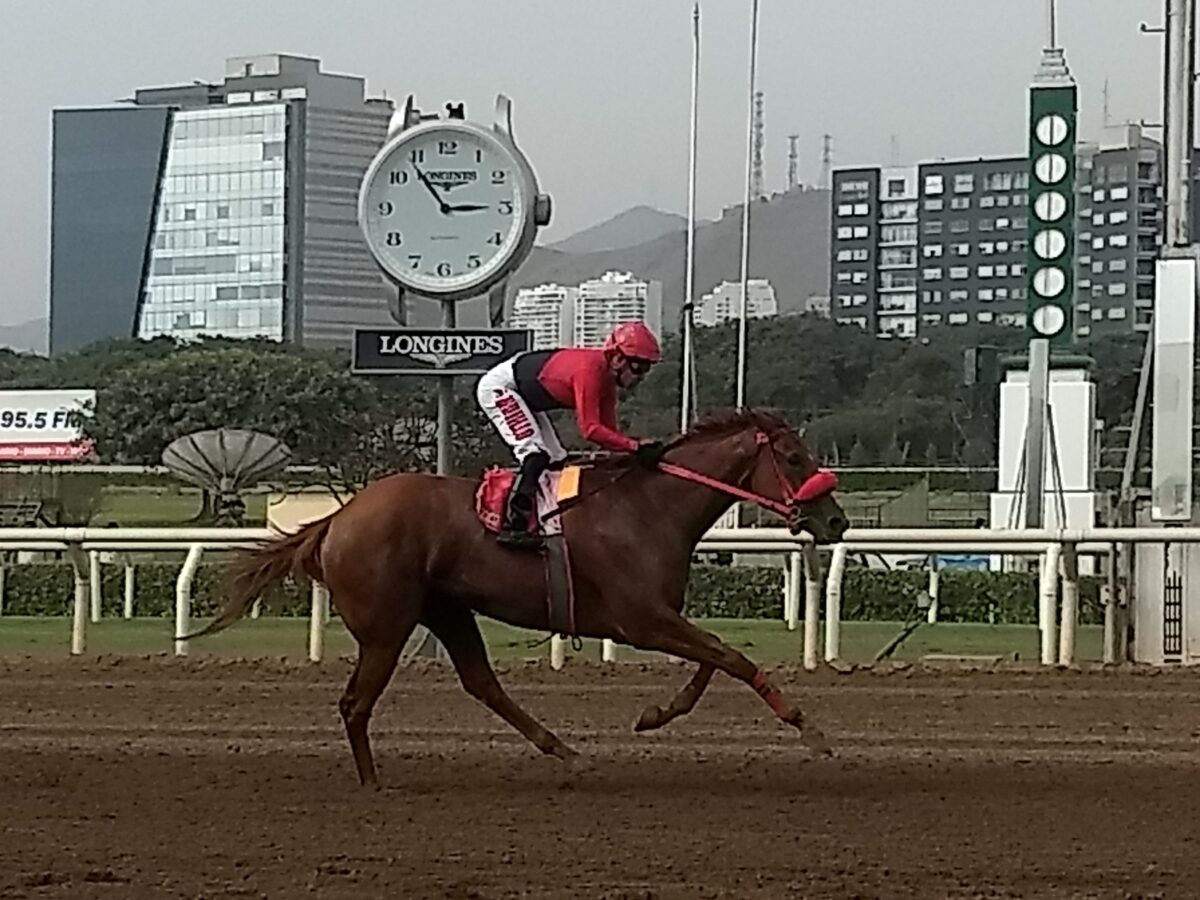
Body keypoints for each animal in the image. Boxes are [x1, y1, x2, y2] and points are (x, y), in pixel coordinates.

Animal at [186, 409, 848, 788]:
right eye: (794, 458)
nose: (837, 521)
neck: (648, 508)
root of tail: (338, 518)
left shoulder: (658, 617)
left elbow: (714, 662)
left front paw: (656, 713)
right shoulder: (640, 619)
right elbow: (730, 657)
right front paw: (810, 730)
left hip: (447, 610)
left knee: (482, 683)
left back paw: (567, 753)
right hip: (386, 624)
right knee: (356, 702)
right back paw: (374, 784)